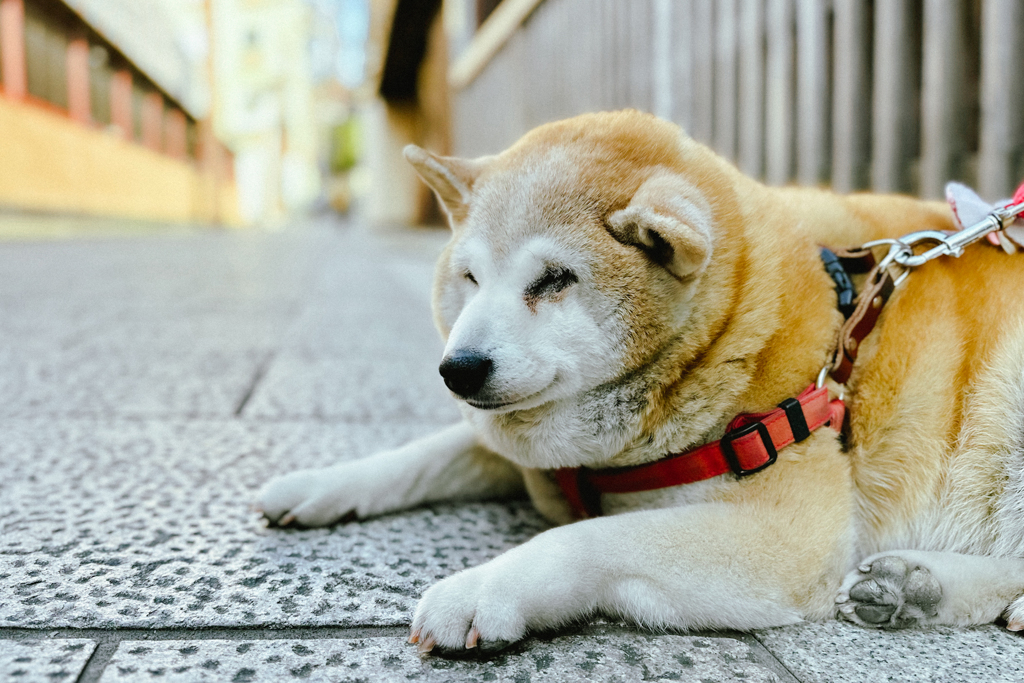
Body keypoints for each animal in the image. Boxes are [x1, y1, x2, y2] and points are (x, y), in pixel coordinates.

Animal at [253, 109, 1024, 655]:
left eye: (554, 279)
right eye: (468, 277)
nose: (458, 367)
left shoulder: (788, 533)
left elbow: (589, 539)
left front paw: (484, 586)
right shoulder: (539, 450)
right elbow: (422, 455)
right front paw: (320, 483)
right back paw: (917, 588)